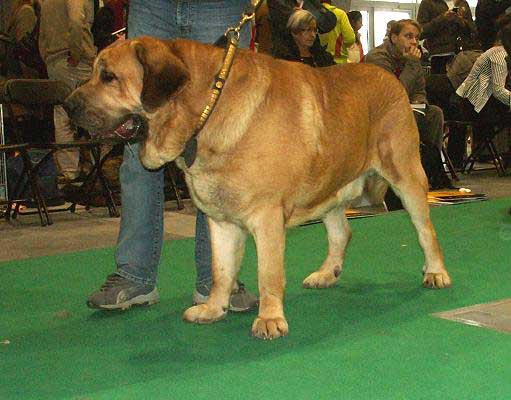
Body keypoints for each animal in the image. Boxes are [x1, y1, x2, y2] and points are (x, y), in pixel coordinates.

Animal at [64, 36, 452, 340]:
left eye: (109, 77)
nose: (68, 105)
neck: (206, 109)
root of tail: (390, 76)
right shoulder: (219, 221)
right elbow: (221, 271)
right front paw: (213, 308)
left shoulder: (266, 218)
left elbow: (268, 273)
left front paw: (269, 319)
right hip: (327, 186)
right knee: (342, 232)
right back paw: (326, 274)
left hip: (405, 175)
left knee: (426, 231)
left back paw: (436, 272)